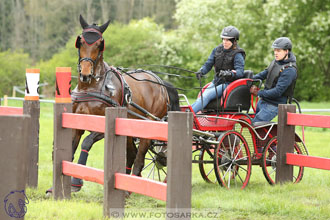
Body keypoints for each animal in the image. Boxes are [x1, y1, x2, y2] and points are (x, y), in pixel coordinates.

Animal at [69, 15, 179, 191]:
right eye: (81, 42)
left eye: (100, 44)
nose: (85, 73)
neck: (91, 87)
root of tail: (160, 83)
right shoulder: (76, 123)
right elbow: (70, 149)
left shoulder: (105, 126)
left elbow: (86, 143)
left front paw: (76, 181)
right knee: (132, 154)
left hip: (148, 126)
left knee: (140, 157)